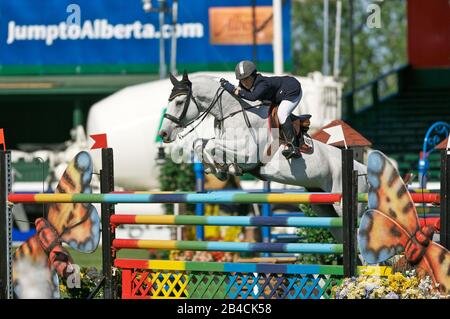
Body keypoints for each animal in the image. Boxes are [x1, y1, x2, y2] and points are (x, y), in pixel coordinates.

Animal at [159, 73, 370, 242]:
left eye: (179, 102)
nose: (163, 134)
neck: (232, 112)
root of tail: (361, 170)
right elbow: (201, 144)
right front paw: (218, 168)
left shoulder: (248, 155)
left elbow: (211, 146)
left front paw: (224, 168)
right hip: (323, 204)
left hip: (343, 205)